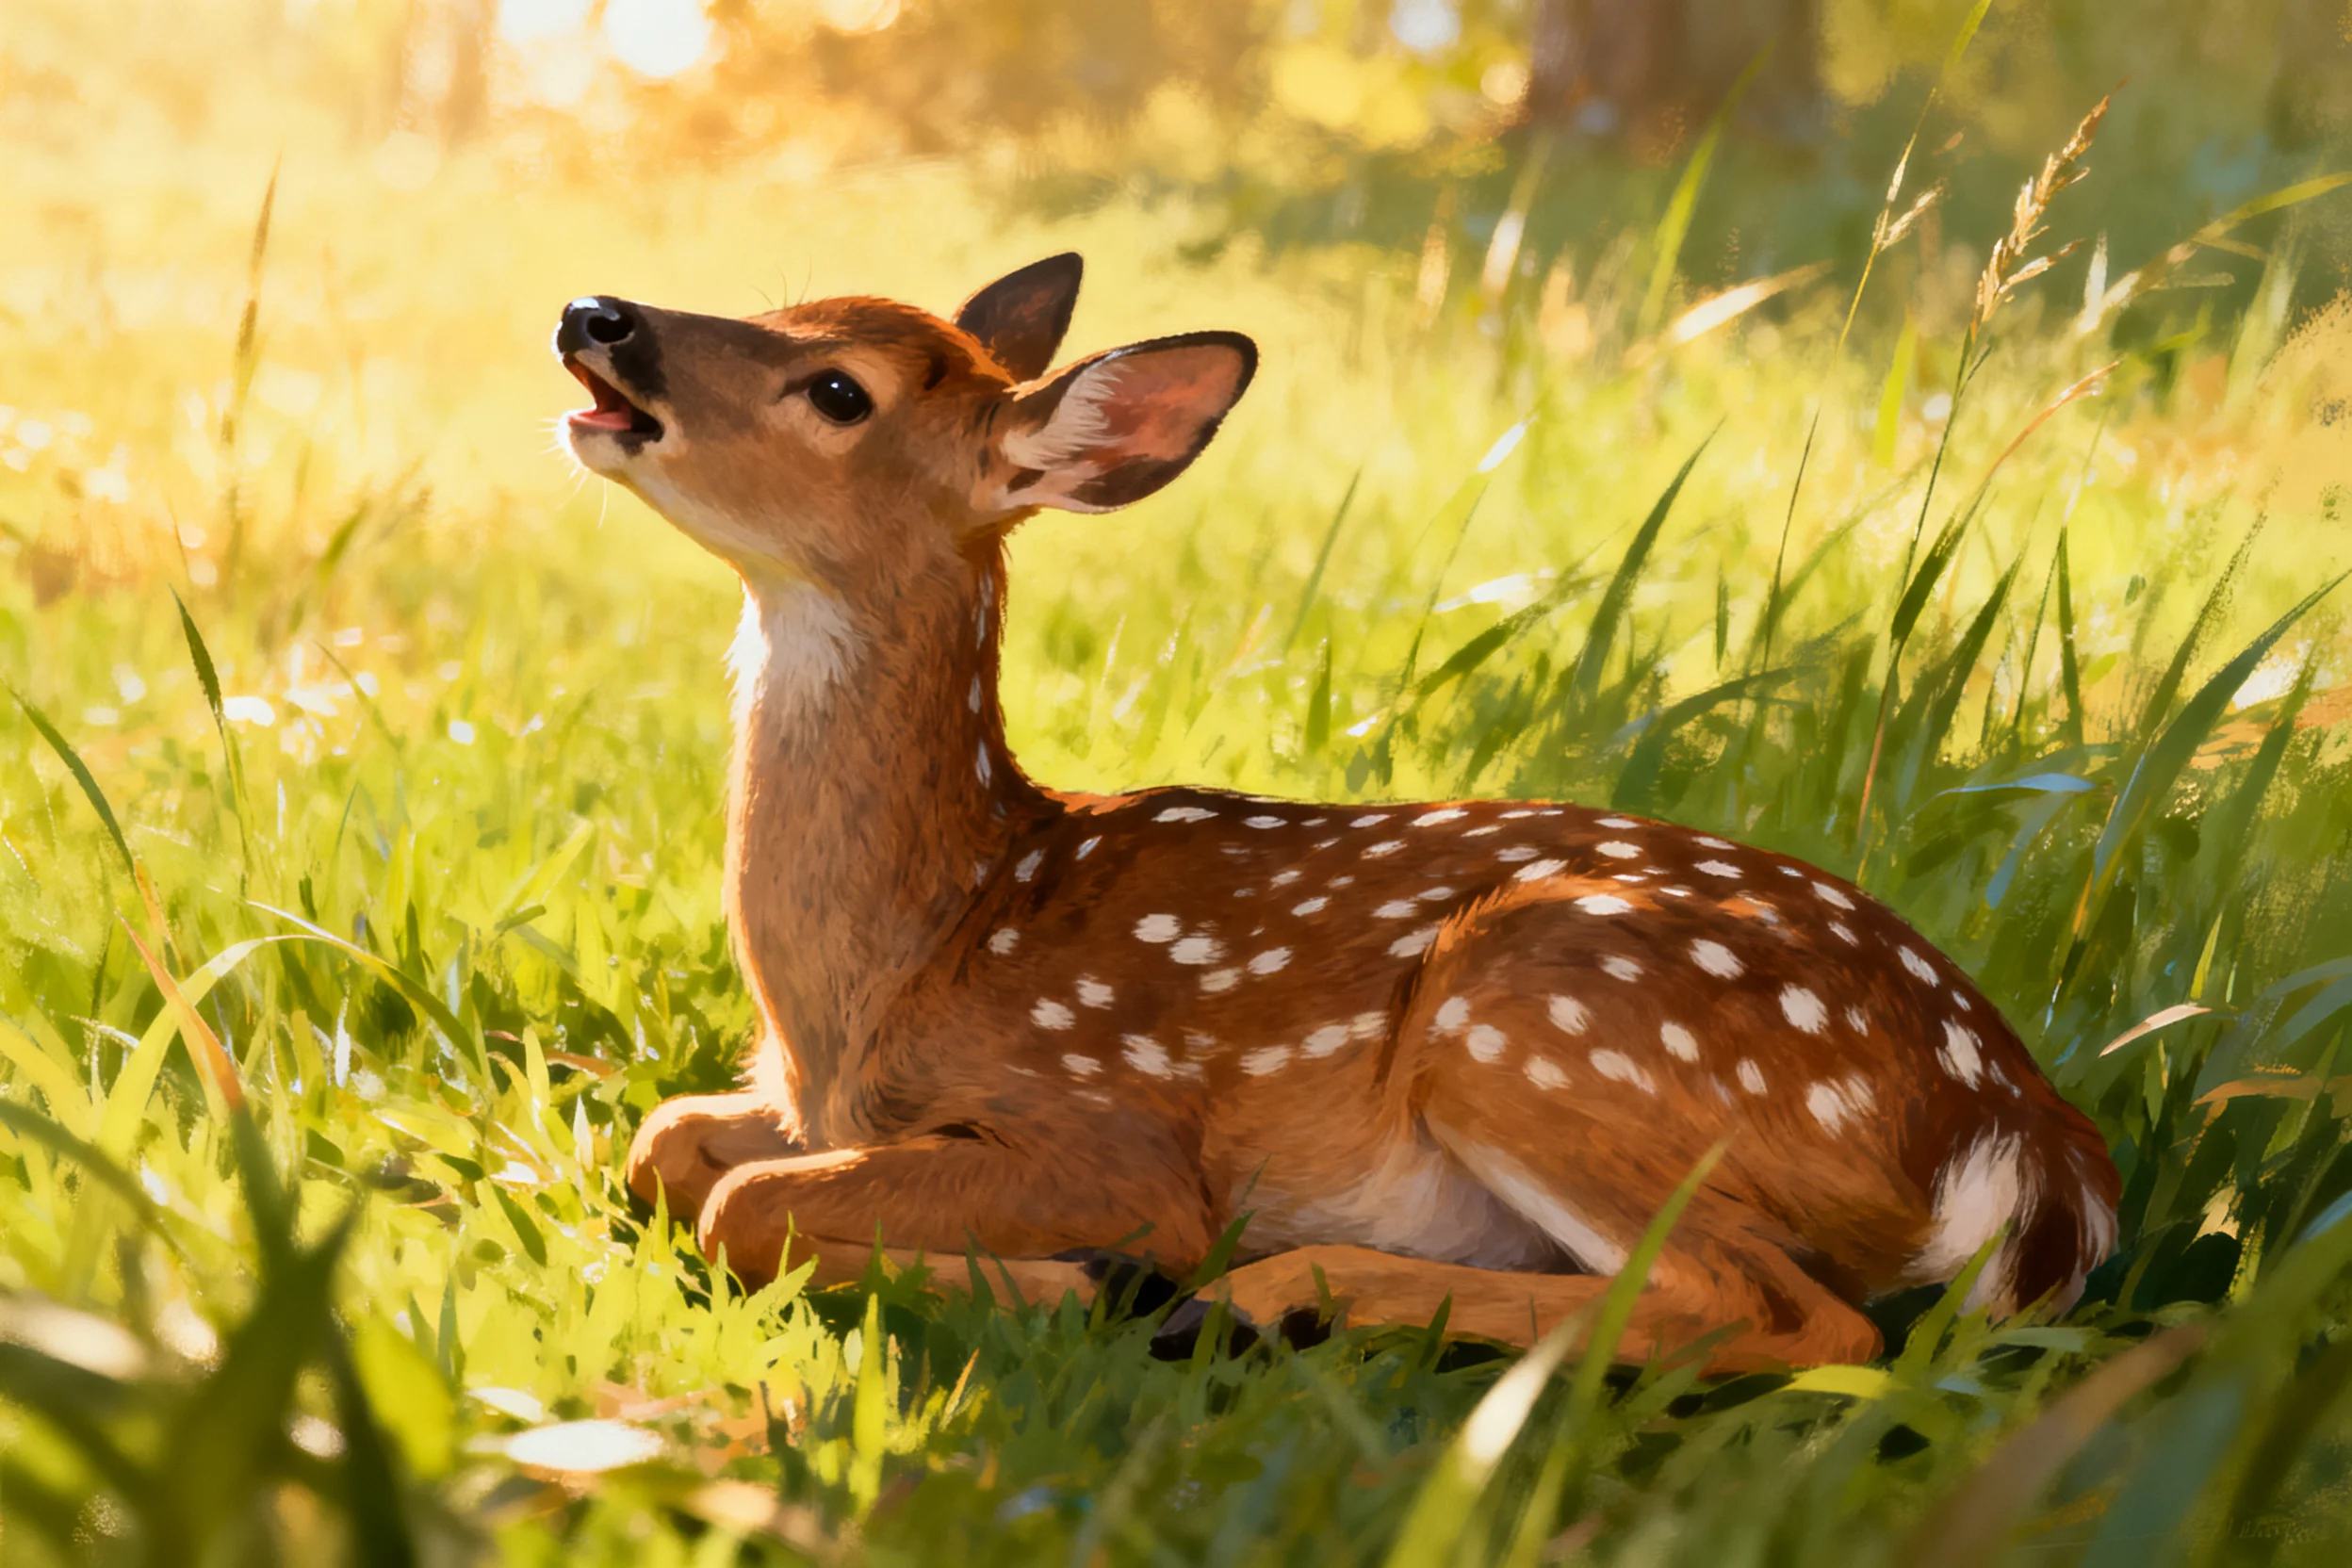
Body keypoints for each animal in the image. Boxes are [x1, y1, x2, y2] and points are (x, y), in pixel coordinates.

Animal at [553, 254, 2120, 1372]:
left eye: (838, 391)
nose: (596, 313)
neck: (905, 953)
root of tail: (2035, 1145)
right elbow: (664, 1141)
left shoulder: (1104, 1133)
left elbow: (741, 1203)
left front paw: (1077, 1282)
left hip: (1536, 1012)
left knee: (1796, 1320)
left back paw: (1252, 1301)